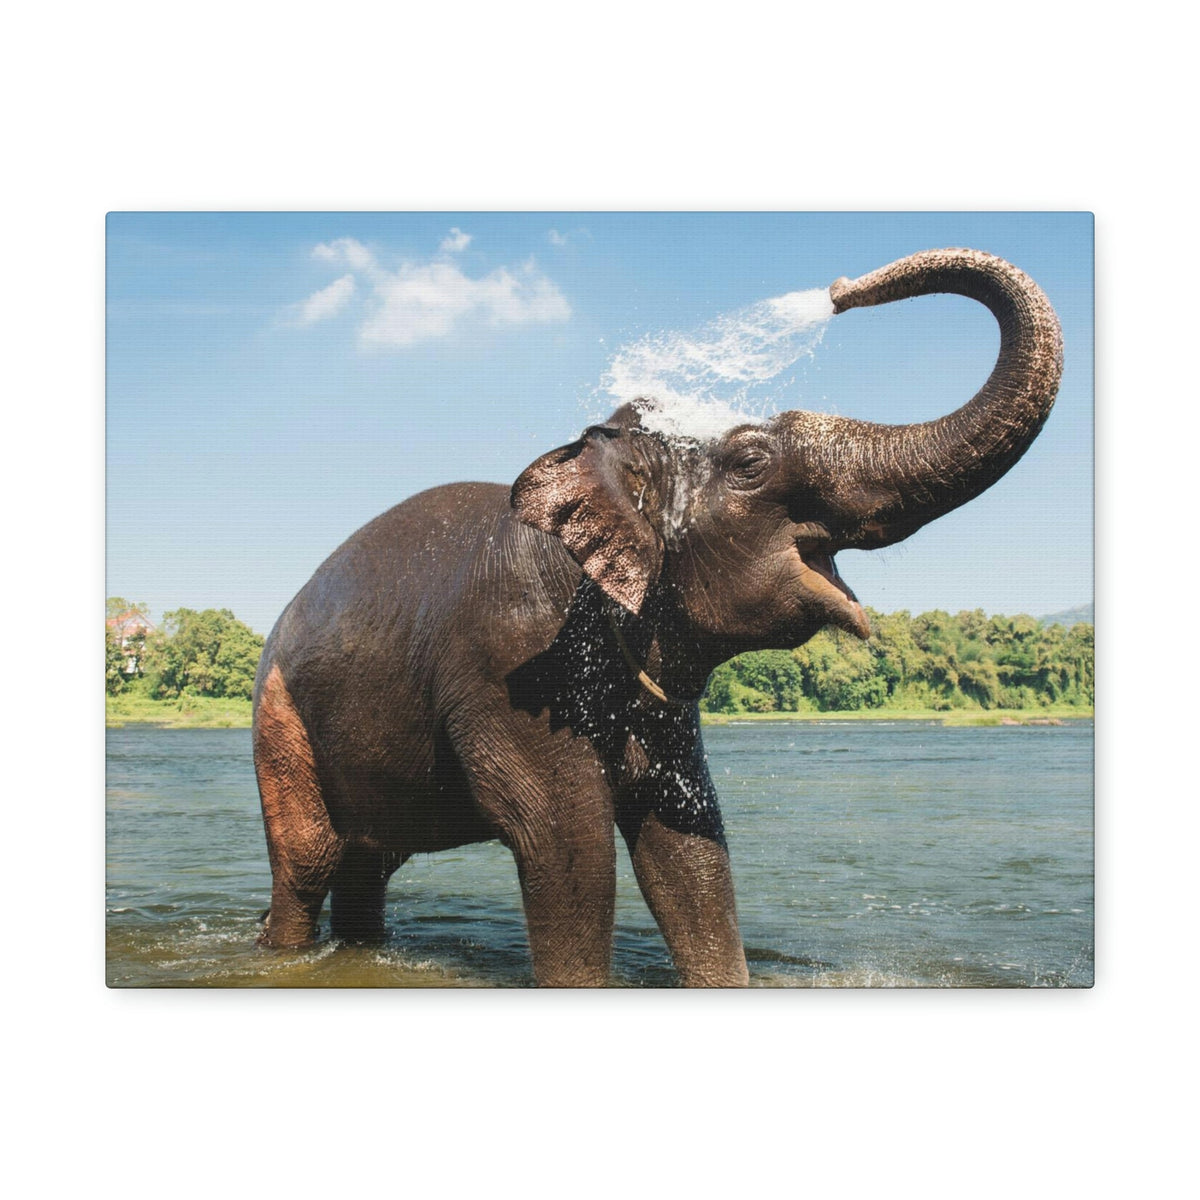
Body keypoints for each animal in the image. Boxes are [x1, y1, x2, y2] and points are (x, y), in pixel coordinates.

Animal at [252, 247, 1063, 986]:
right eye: (750, 462)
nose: (839, 288)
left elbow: (688, 843)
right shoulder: (508, 662)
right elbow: (566, 842)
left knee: (367, 864)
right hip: (278, 719)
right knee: (309, 861)